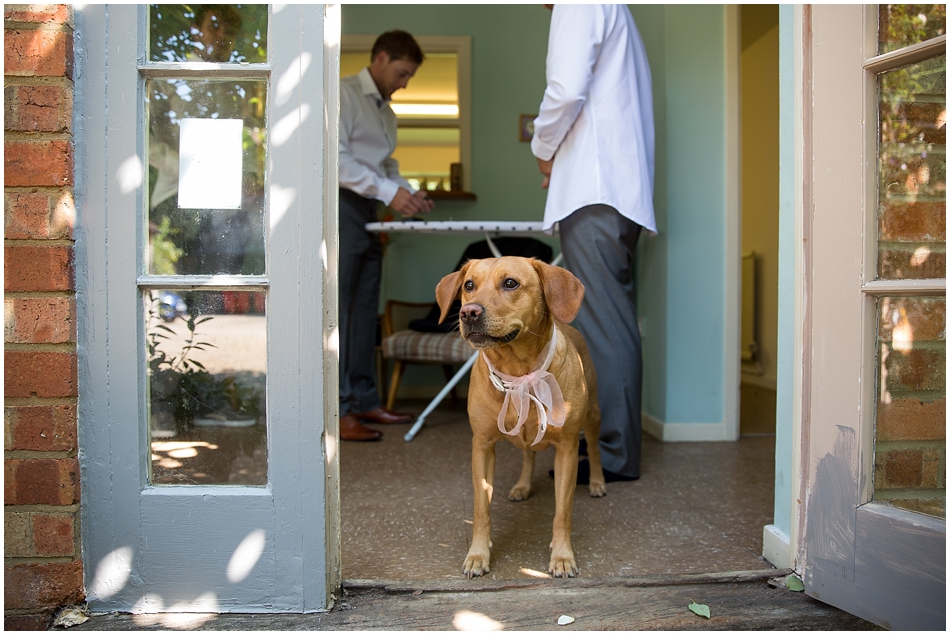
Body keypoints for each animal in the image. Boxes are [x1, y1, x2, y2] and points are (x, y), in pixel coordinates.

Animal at [436, 256, 608, 580]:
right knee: (528, 454)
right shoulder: (482, 446)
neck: (518, 371)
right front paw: (478, 554)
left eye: (510, 283)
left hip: (592, 415)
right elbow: (481, 509)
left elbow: (562, 512)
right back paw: (523, 486)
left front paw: (562, 556)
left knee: (593, 447)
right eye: (469, 285)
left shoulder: (567, 449)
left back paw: (596, 482)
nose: (468, 312)